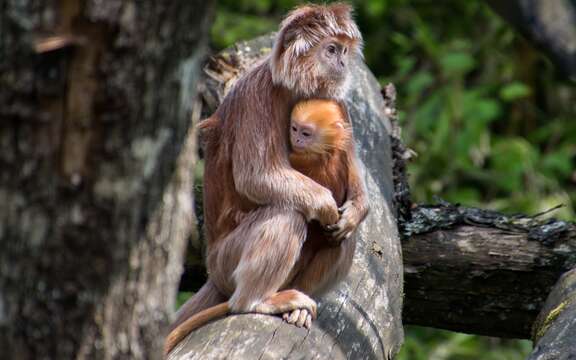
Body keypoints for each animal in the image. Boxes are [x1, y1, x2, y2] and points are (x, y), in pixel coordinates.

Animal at [166, 3, 362, 354]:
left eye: (343, 50)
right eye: (331, 50)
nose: (342, 62)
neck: (291, 89)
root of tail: (213, 272)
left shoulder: (338, 105)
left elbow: (354, 180)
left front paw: (354, 212)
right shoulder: (257, 95)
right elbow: (255, 177)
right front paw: (325, 205)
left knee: (343, 237)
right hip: (226, 262)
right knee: (286, 213)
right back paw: (256, 301)